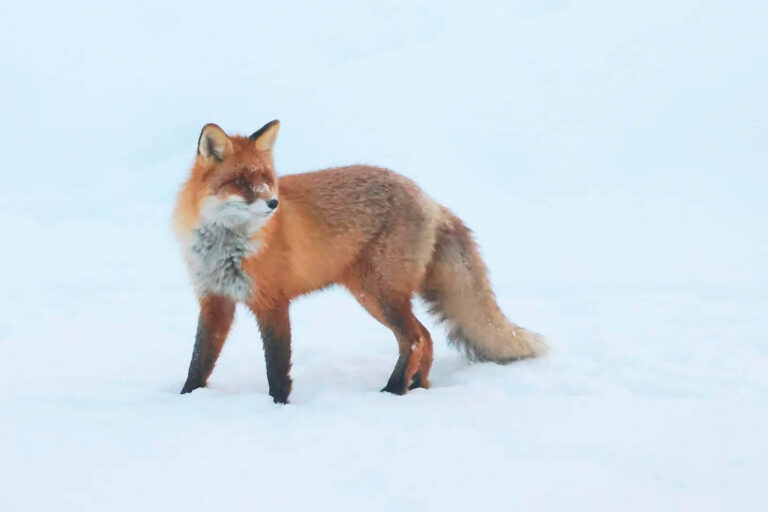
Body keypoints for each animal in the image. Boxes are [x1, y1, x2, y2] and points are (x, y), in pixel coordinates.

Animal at [173, 120, 546, 403]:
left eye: (266, 178)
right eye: (241, 182)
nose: (274, 203)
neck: (226, 245)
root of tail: (429, 198)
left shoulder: (273, 302)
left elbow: (276, 368)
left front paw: (279, 406)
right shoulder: (215, 299)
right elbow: (199, 361)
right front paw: (186, 399)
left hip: (377, 293)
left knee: (415, 338)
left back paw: (394, 390)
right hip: (375, 295)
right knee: (425, 337)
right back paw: (415, 386)